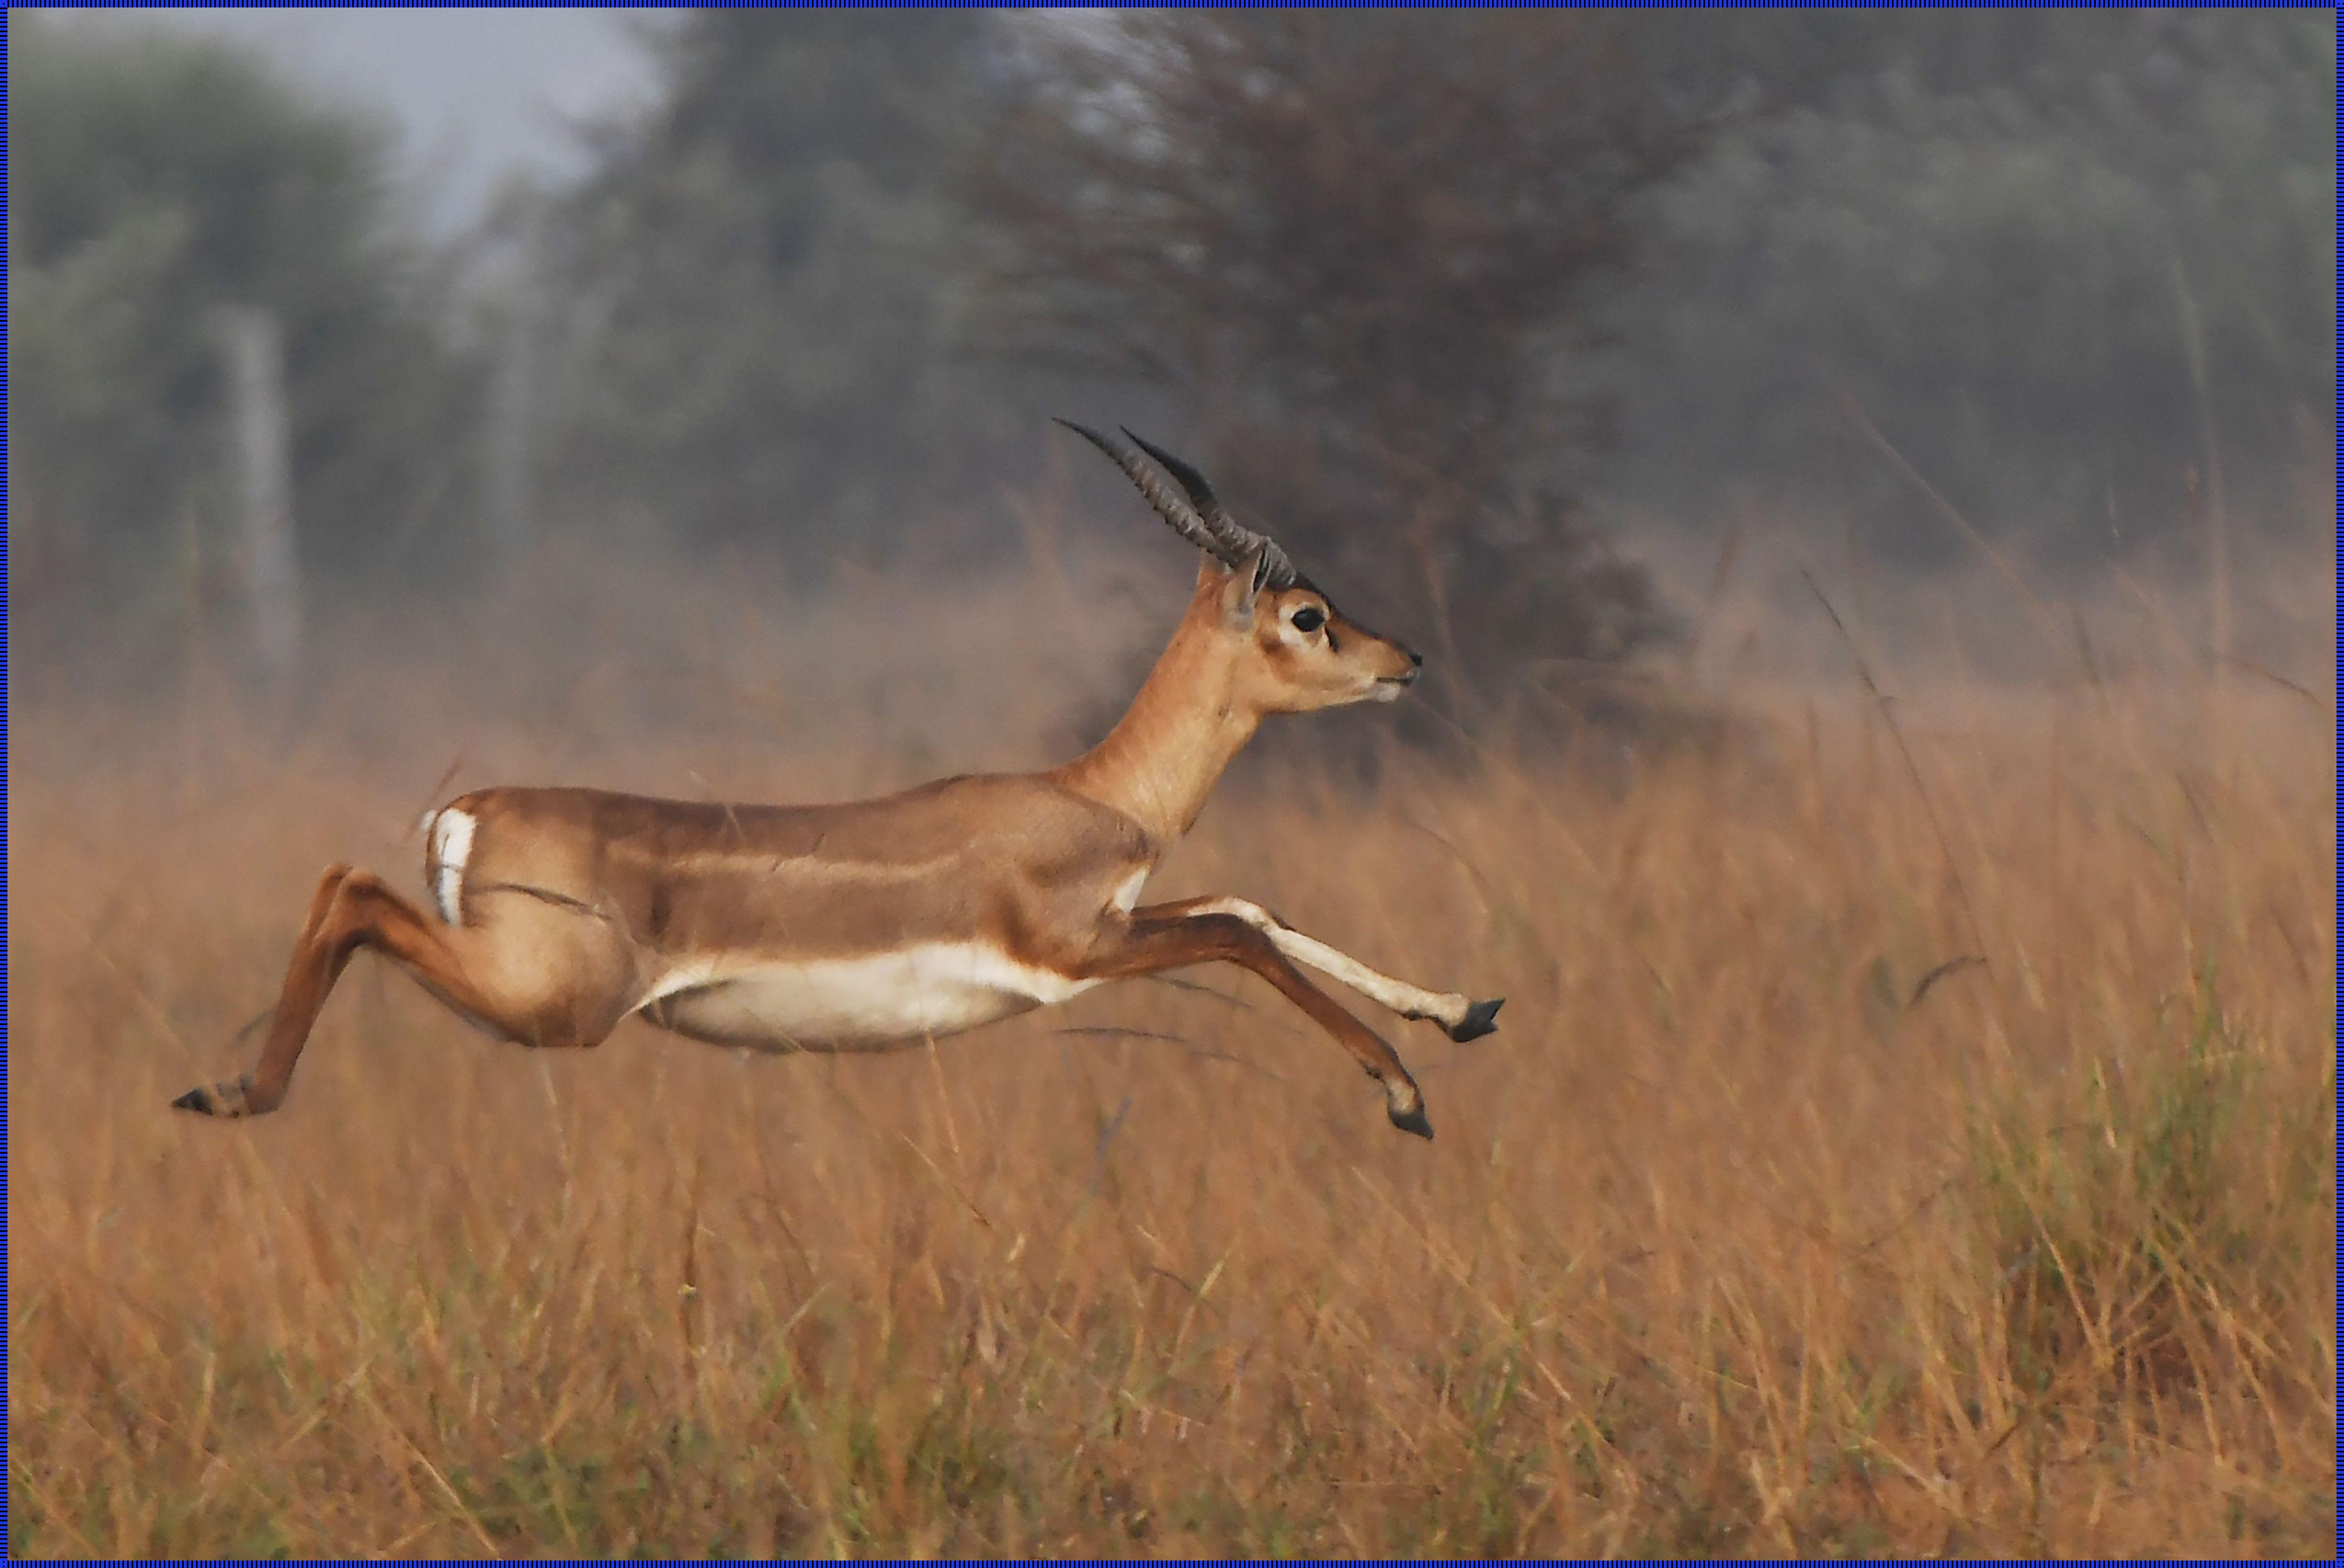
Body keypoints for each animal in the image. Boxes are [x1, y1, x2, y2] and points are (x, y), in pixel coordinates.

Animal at [178, 424, 1500, 1139]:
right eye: (1307, 612)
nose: (1407, 659)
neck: (1096, 794)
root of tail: (470, 807)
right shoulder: (1076, 949)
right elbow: (1241, 933)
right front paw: (1405, 1092)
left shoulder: (1123, 917)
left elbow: (1251, 903)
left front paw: (1464, 1009)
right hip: (558, 1003)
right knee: (349, 888)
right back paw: (233, 1091)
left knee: (341, 884)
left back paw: (223, 1089)